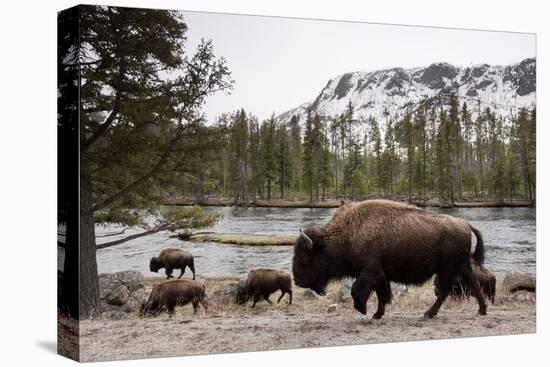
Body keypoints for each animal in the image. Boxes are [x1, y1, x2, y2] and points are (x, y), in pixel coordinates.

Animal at [294, 201, 488, 320]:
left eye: (304, 260)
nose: (297, 281)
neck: (348, 234)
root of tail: (466, 224)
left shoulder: (370, 271)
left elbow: (357, 291)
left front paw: (363, 309)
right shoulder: (380, 275)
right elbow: (382, 294)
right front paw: (377, 314)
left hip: (448, 268)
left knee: (446, 290)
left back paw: (428, 313)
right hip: (461, 266)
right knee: (473, 283)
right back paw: (481, 310)